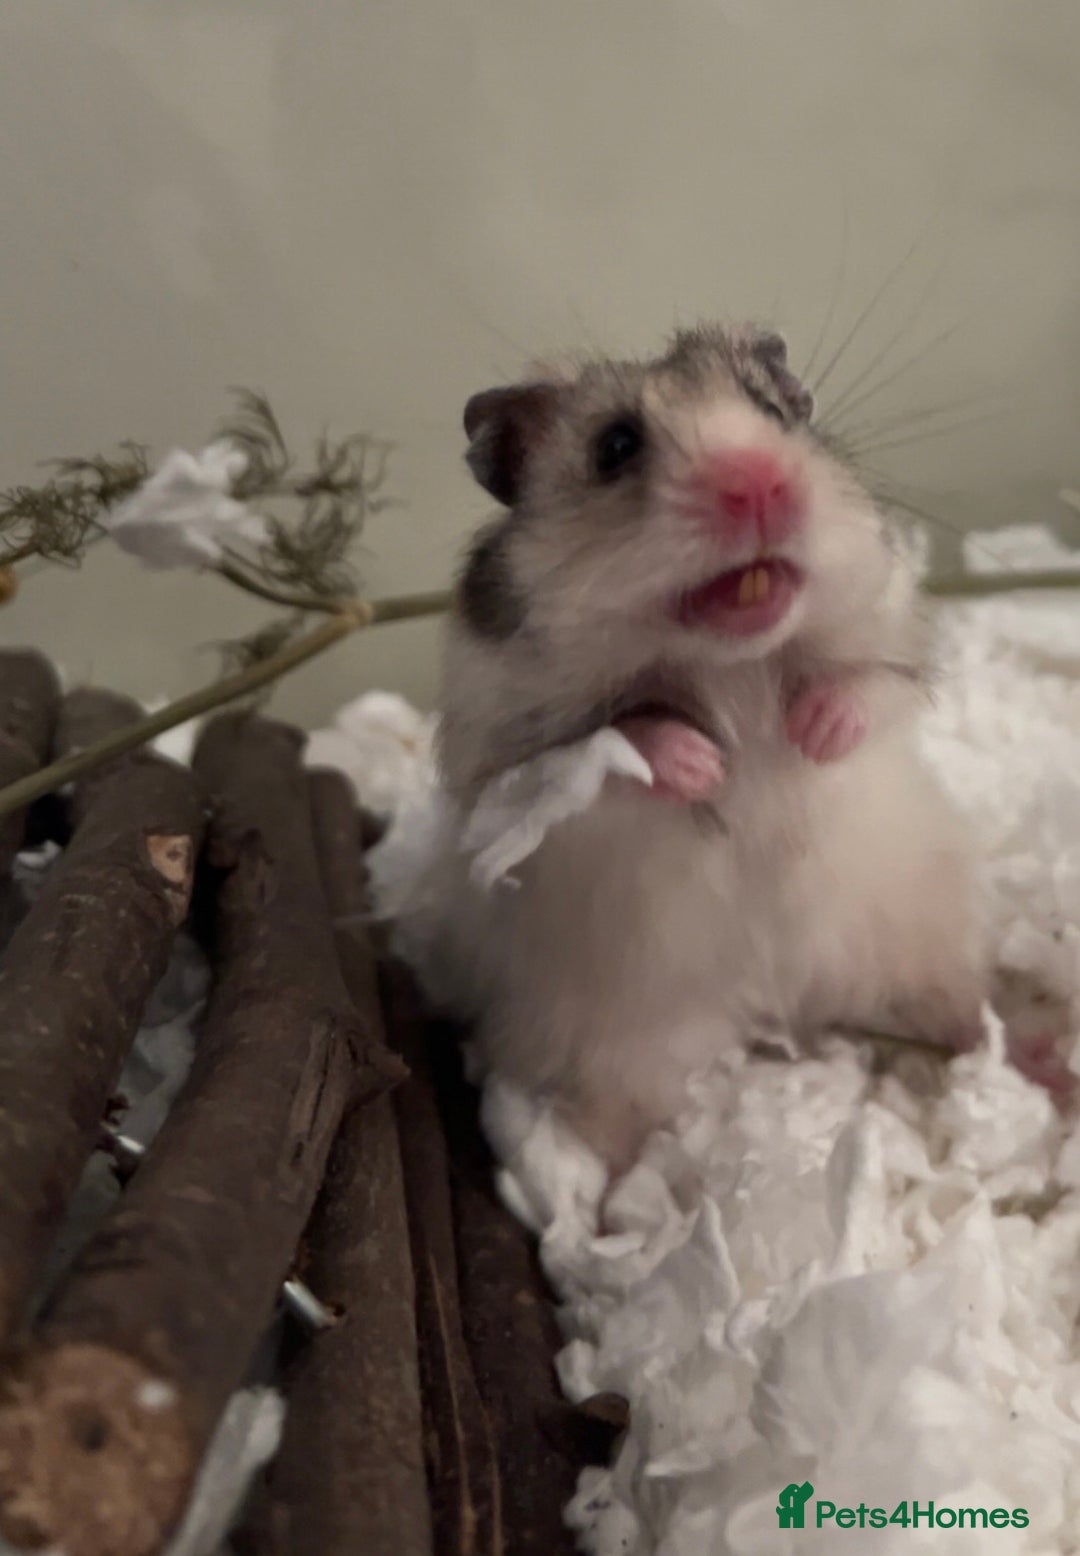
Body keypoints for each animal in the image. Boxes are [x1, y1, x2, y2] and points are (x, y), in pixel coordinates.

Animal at [398, 324, 1018, 1165]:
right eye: (616, 447)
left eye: (775, 410)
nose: (759, 485)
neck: (733, 662)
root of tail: (787, 1008)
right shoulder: (510, 751)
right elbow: (616, 744)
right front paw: (705, 765)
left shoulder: (889, 624)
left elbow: (864, 689)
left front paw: (812, 731)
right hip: (611, 1040)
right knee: (618, 1124)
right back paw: (590, 1186)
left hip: (928, 944)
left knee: (960, 1018)